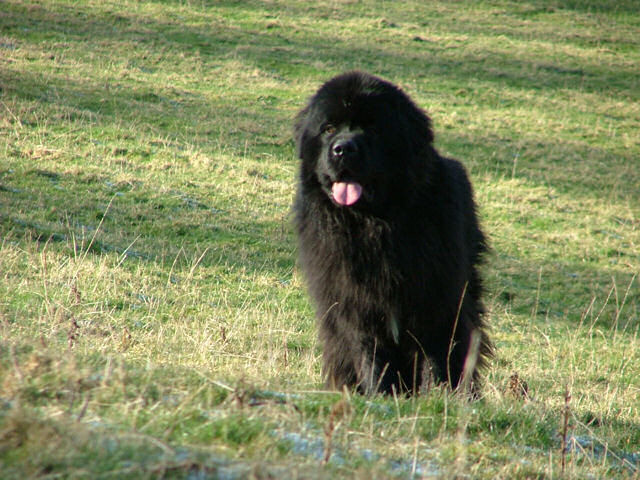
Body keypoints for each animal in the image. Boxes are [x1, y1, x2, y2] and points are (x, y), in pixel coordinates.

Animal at [294, 71, 490, 394]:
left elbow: (436, 357)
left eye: (372, 127)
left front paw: (438, 396)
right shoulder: (356, 306)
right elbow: (372, 357)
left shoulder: (436, 303)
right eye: (328, 129)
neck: (376, 227)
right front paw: (379, 395)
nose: (342, 148)